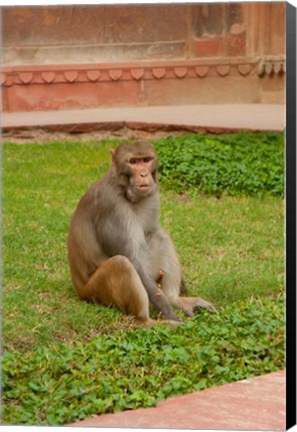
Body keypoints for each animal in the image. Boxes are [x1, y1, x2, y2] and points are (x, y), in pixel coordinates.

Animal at [67, 142, 215, 328]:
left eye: (146, 160)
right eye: (133, 162)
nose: (143, 174)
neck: (124, 190)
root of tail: (79, 288)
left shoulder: (152, 195)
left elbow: (151, 231)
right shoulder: (111, 206)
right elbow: (132, 259)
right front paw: (167, 310)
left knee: (159, 235)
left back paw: (175, 299)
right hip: (95, 292)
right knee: (121, 263)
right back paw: (149, 321)